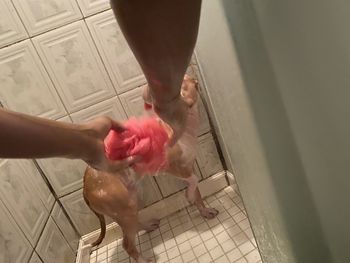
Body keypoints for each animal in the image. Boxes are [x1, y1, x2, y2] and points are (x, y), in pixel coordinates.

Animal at [83, 75, 217, 262]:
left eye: (183, 84)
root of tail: (85, 187)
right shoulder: (173, 167)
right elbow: (194, 182)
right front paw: (188, 195)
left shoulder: (188, 166)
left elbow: (197, 191)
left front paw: (204, 210)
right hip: (125, 210)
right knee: (127, 244)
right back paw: (144, 259)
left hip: (130, 203)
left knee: (134, 227)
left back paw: (148, 225)